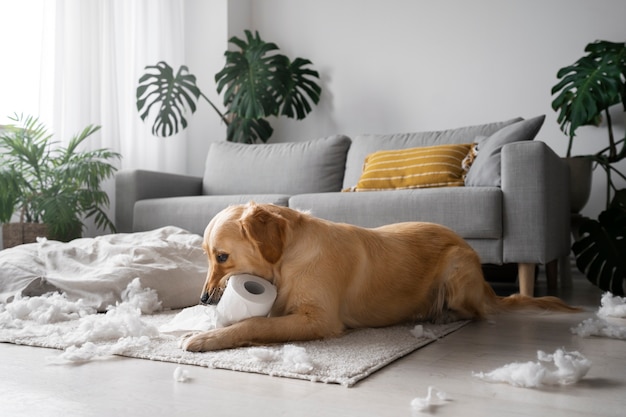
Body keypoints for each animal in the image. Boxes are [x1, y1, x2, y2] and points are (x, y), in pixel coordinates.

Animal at [179, 202, 576, 352]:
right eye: (206, 256)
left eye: (222, 257)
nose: (202, 299)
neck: (288, 259)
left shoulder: (320, 320)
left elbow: (254, 325)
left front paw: (205, 337)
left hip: (457, 267)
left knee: (476, 312)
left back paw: (440, 314)